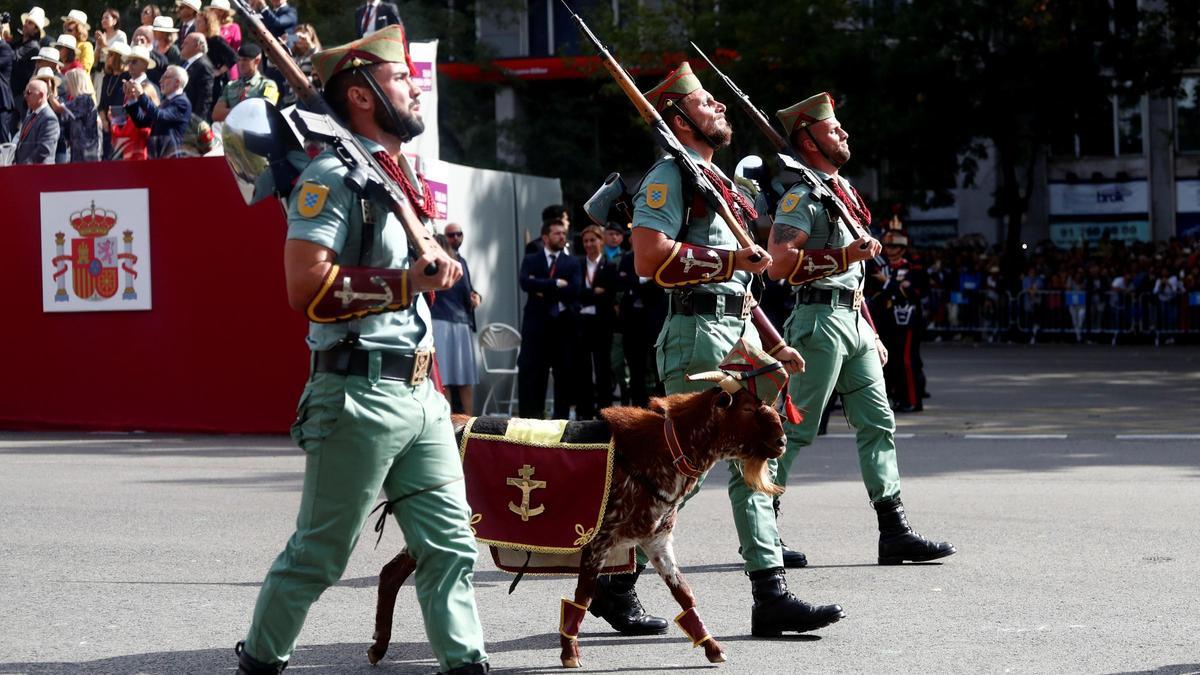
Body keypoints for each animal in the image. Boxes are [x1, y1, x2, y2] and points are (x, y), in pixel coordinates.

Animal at [364, 381, 787, 662]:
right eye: (748, 410)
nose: (782, 441)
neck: (662, 449)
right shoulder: (597, 540)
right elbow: (582, 596)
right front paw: (569, 651)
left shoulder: (656, 541)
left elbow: (684, 594)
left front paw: (711, 646)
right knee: (392, 573)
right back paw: (383, 644)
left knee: (392, 573)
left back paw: (382, 645)